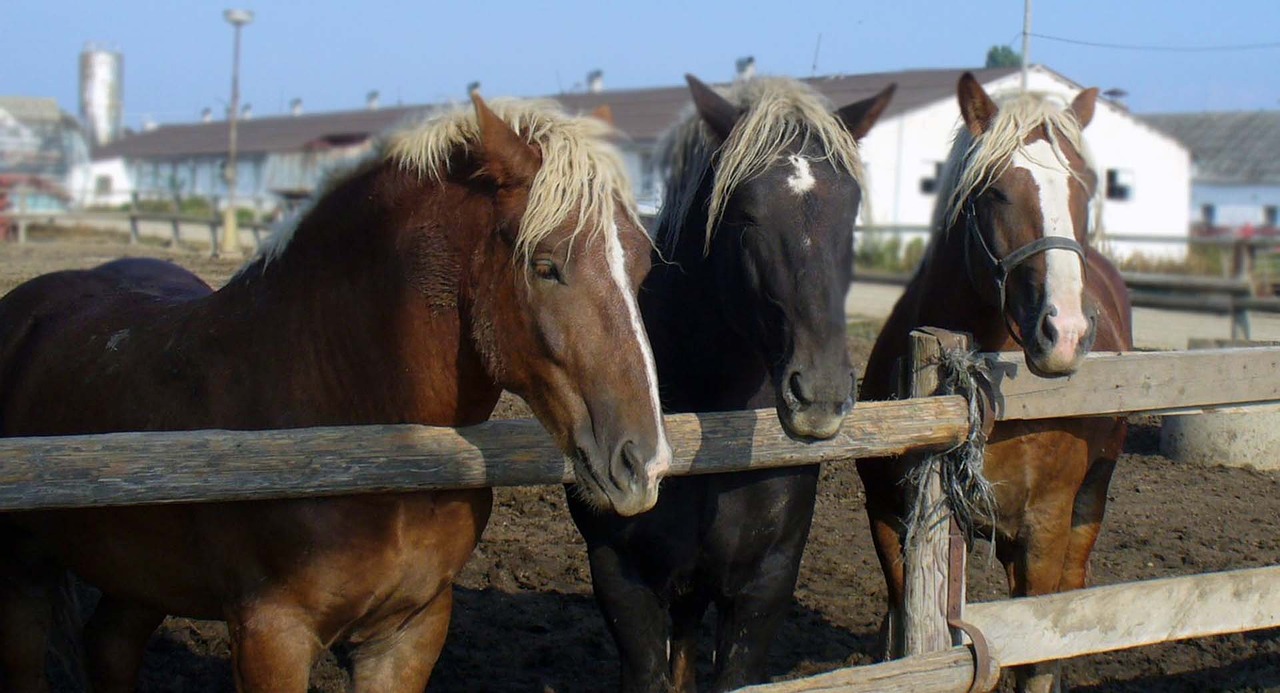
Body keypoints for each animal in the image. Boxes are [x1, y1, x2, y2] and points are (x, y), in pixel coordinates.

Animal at [0, 96, 675, 691]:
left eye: (643, 265)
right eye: (545, 265)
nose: (643, 463)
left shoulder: (410, 631)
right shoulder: (271, 636)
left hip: (138, 578)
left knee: (109, 648)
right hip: (26, 574)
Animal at [860, 73, 1131, 686]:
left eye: (1084, 193)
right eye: (997, 192)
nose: (1066, 332)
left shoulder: (1045, 530)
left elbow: (1038, 651)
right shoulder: (888, 519)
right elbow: (906, 628)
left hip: (1091, 498)